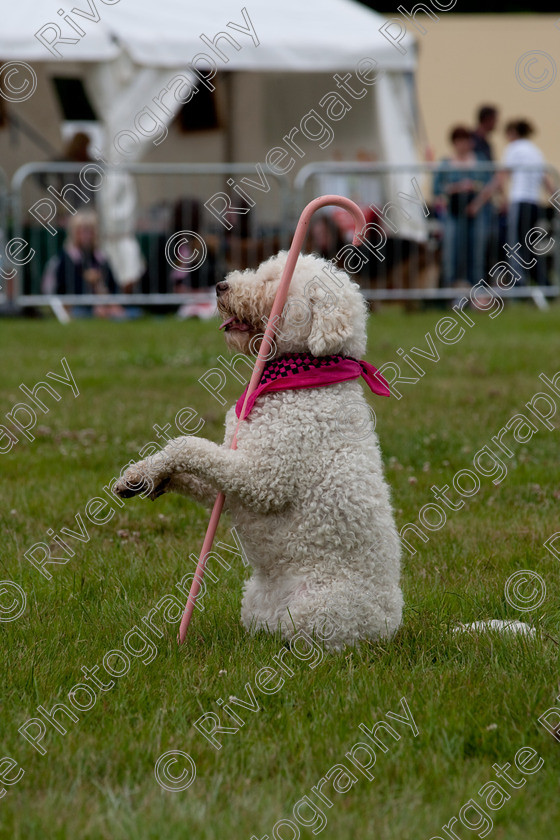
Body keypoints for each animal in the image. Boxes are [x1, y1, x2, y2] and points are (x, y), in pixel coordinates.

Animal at [114, 253, 402, 652]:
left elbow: (189, 444)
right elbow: (192, 465)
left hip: (321, 611)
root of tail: (389, 626)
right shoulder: (231, 480)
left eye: (272, 283)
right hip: (254, 602)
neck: (301, 373)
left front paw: (153, 471)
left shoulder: (264, 478)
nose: (220, 286)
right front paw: (144, 476)